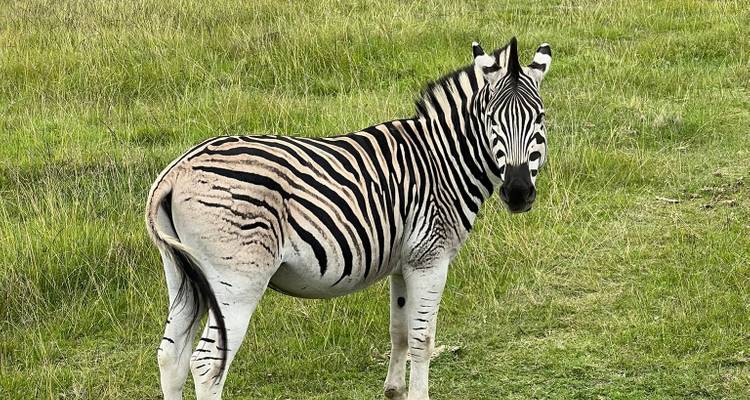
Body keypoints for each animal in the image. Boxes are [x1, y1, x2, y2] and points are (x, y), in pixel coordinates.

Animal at [146, 37, 551, 400]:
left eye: (540, 118)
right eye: (491, 120)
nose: (518, 192)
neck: (441, 160)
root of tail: (176, 172)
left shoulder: (404, 261)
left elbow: (399, 332)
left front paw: (393, 392)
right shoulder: (430, 258)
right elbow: (422, 338)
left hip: (183, 275)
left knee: (170, 356)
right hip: (237, 280)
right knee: (206, 362)